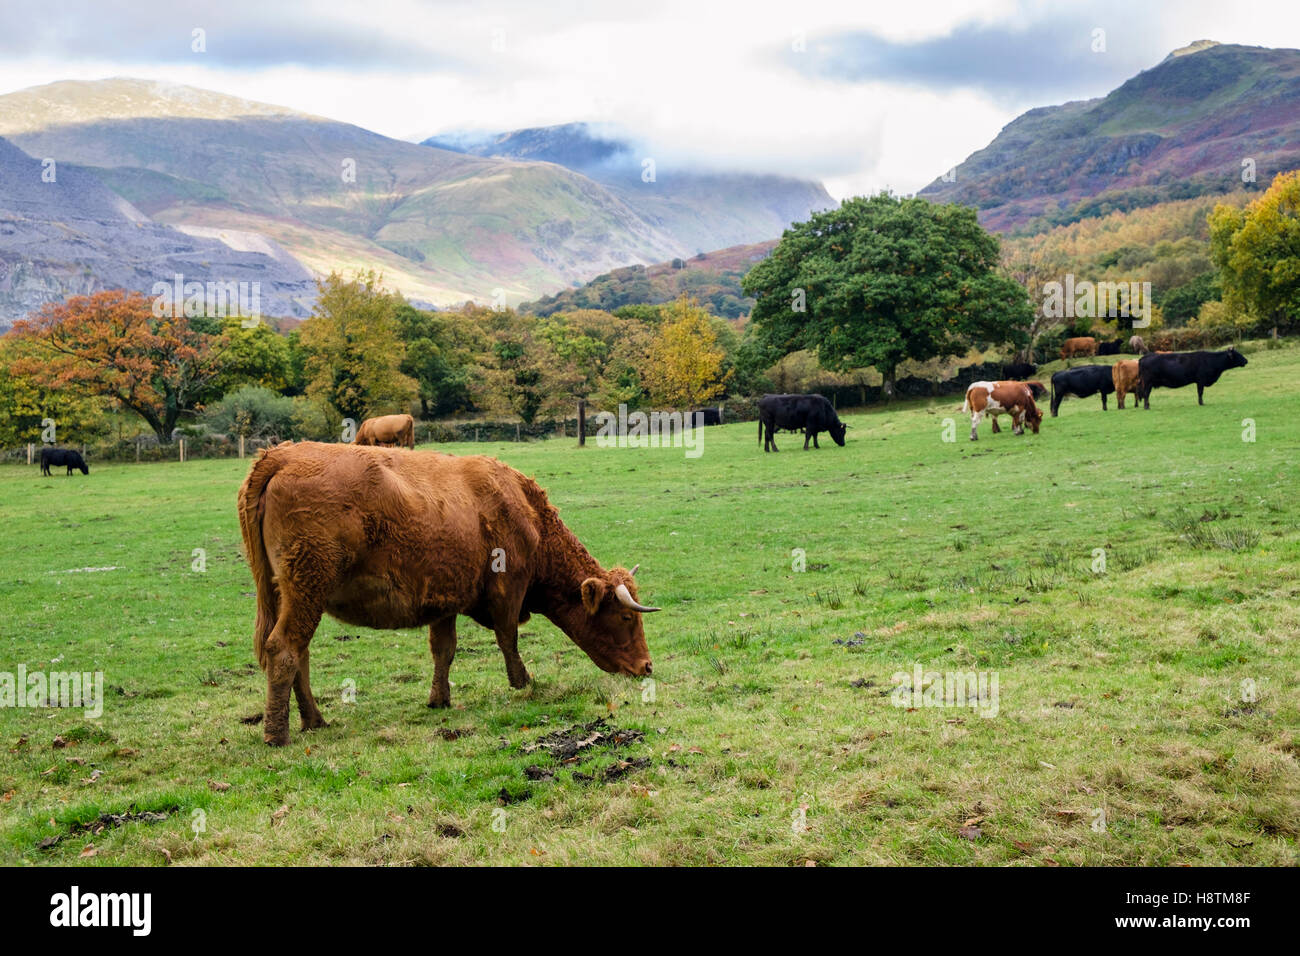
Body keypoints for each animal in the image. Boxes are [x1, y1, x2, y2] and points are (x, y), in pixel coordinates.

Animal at [236, 442, 660, 749]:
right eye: (626, 617)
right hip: (307, 590)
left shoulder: (443, 600)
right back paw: (277, 734)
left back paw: (314, 720)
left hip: (291, 595)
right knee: (284, 649)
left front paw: (439, 698)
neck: (527, 514)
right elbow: (508, 638)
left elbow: (444, 650)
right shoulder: (508, 591)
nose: (647, 666)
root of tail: (283, 454)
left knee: (299, 654)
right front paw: (523, 682)